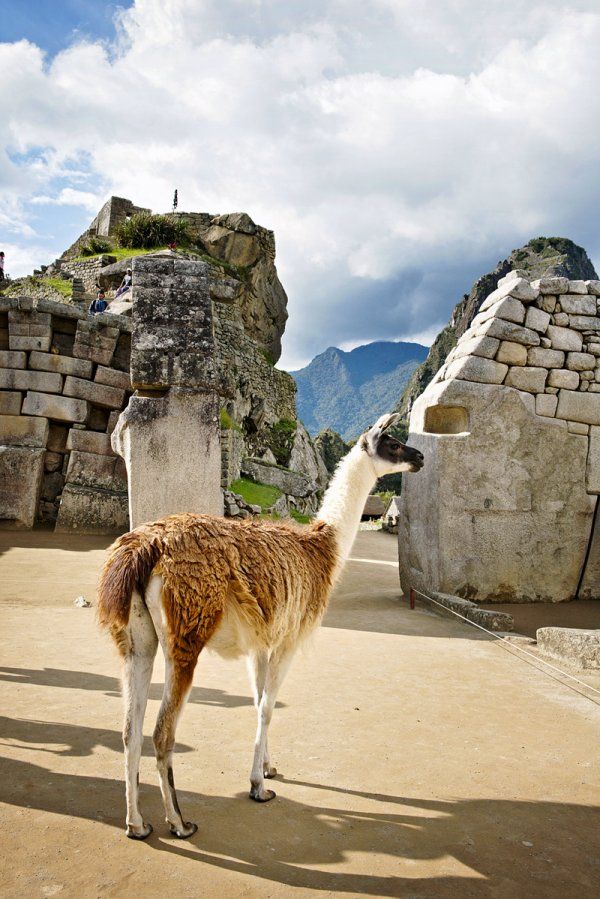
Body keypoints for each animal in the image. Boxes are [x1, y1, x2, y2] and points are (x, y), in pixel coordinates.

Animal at [97, 412, 424, 839]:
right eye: (393, 444)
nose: (420, 457)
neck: (323, 549)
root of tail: (145, 547)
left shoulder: (260, 643)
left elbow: (257, 702)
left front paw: (268, 766)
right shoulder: (288, 640)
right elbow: (268, 707)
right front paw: (258, 786)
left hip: (136, 640)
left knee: (129, 731)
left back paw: (136, 823)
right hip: (185, 635)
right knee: (161, 732)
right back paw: (179, 822)